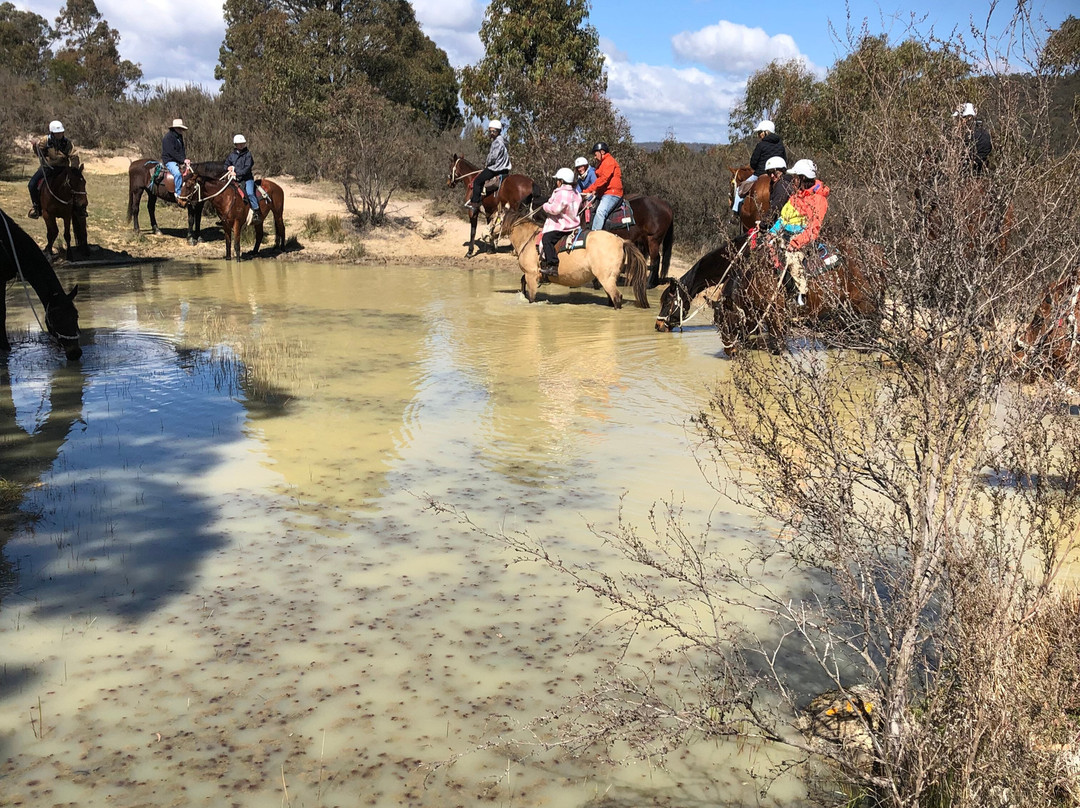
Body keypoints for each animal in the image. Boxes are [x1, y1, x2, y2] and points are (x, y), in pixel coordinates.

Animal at [507, 214, 648, 308]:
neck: (529, 239)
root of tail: (621, 241)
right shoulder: (532, 274)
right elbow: (522, 281)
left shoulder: (531, 274)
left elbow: (531, 296)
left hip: (606, 278)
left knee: (617, 297)